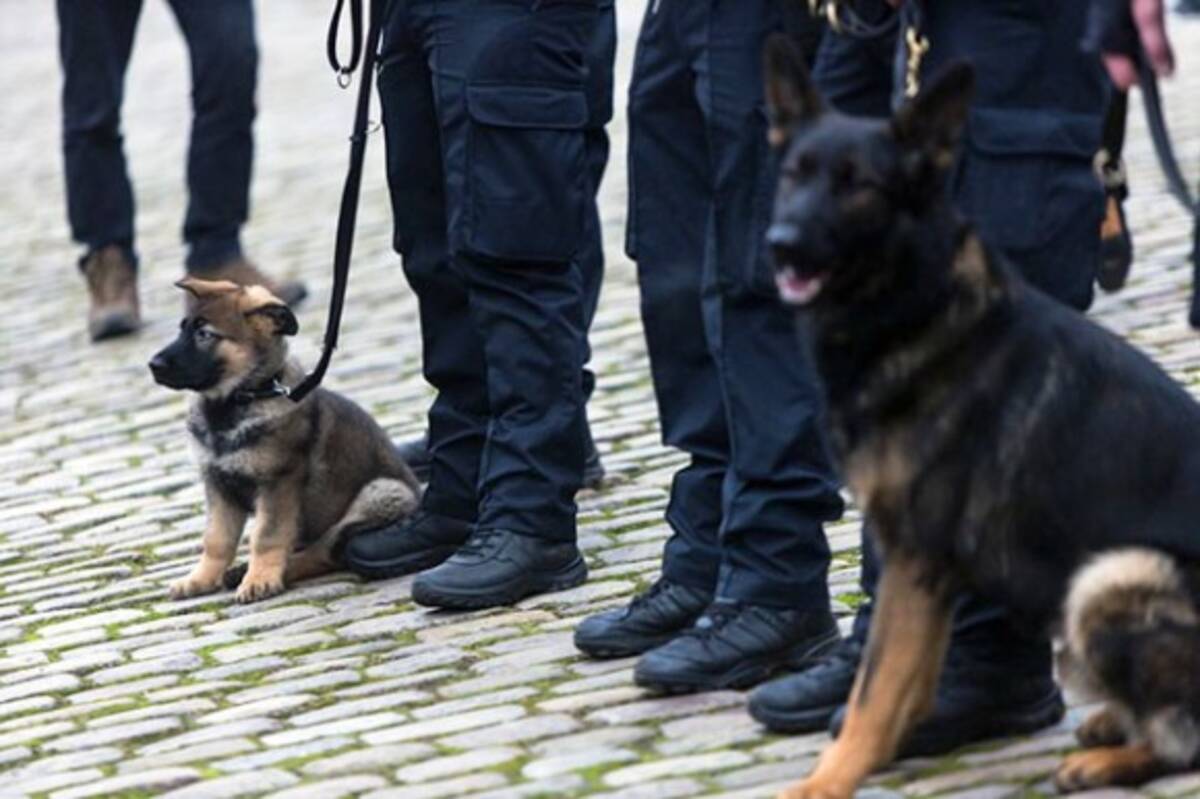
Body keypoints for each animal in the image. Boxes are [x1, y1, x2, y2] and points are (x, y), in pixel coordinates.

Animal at [148, 277, 420, 599]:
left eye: (205, 335)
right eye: (182, 329)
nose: (153, 364)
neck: (232, 404)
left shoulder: (277, 482)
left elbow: (266, 535)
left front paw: (259, 578)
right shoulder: (218, 483)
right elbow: (216, 538)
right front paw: (201, 578)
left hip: (380, 494)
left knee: (323, 552)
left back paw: (261, 572)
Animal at [763, 35, 1200, 796]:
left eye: (857, 185)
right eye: (794, 175)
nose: (780, 244)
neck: (915, 305)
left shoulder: (914, 559)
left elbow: (872, 691)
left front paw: (826, 780)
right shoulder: (921, 574)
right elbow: (897, 689)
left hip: (1110, 576)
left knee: (1185, 736)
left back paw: (1108, 757)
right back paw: (1111, 722)